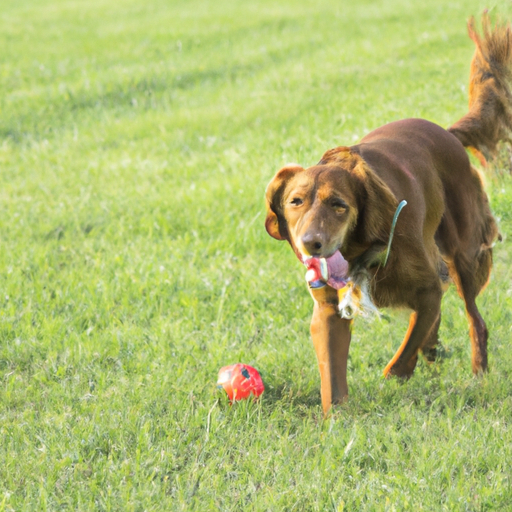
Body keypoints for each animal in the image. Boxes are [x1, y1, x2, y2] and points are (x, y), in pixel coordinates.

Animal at [266, 14, 510, 414]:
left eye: (339, 205)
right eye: (295, 201)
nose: (310, 244)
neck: (359, 248)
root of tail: (447, 133)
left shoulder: (427, 287)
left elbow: (399, 358)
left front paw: (399, 374)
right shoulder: (328, 310)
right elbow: (333, 377)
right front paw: (337, 417)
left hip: (464, 253)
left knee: (475, 319)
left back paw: (477, 372)